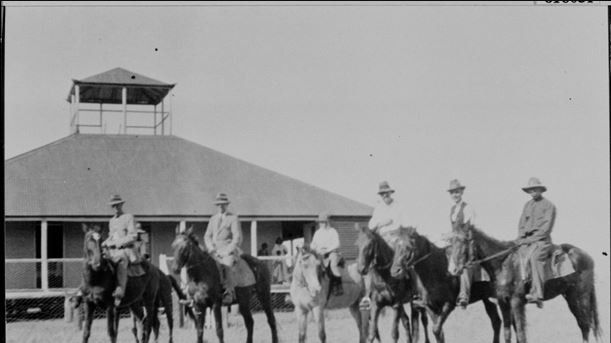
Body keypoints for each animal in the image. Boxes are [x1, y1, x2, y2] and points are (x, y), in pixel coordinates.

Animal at [448, 226, 604, 343]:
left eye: (463, 241)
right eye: (451, 242)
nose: (453, 269)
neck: (504, 264)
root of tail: (588, 257)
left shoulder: (516, 302)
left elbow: (521, 334)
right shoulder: (503, 303)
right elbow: (508, 333)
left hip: (581, 296)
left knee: (585, 325)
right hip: (571, 297)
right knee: (583, 324)